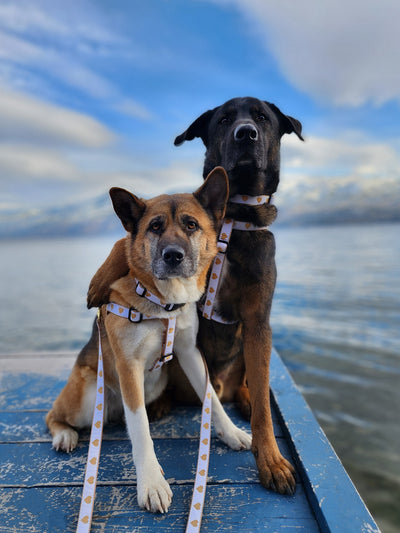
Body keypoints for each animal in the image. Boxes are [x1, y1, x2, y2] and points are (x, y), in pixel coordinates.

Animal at [46, 168, 250, 512]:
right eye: (155, 227)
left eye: (191, 225)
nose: (173, 256)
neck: (161, 303)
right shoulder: (129, 368)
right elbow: (140, 429)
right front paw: (152, 483)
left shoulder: (189, 352)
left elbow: (212, 397)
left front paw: (231, 432)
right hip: (86, 397)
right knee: (53, 415)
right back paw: (64, 435)